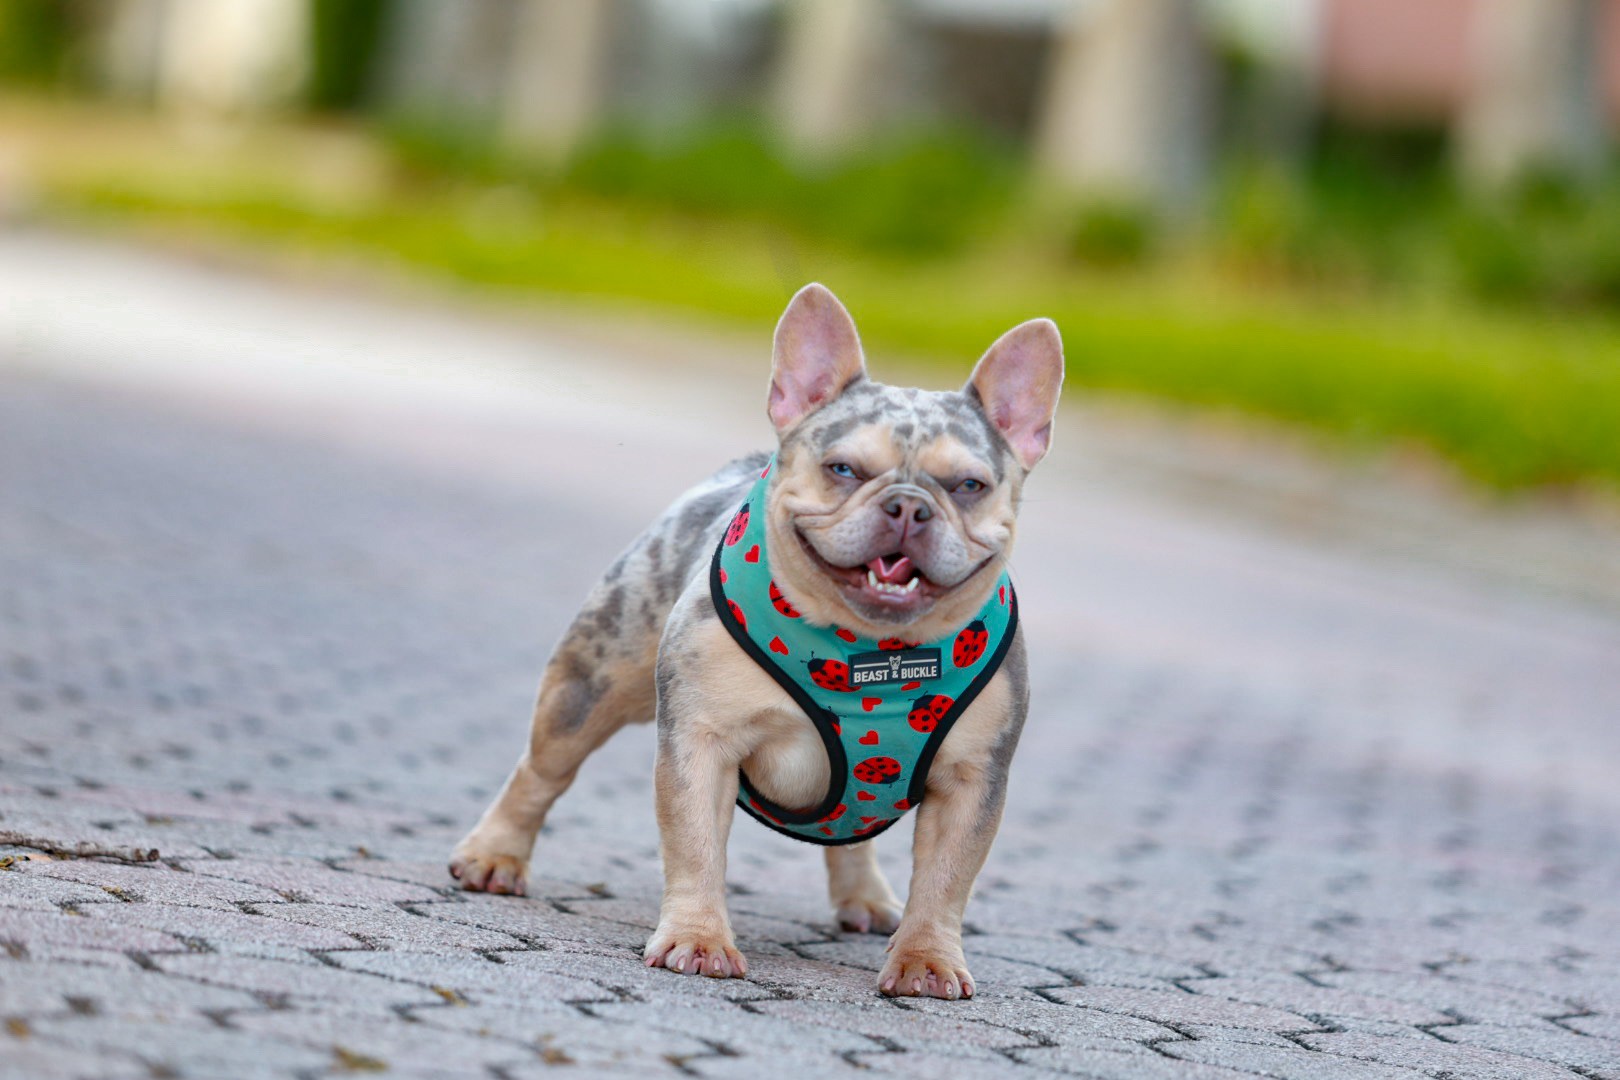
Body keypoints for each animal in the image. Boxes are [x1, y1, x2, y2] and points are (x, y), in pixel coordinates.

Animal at [450, 283, 1063, 999]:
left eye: (969, 486)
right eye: (844, 469)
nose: (909, 506)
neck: (869, 648)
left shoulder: (972, 782)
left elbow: (945, 880)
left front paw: (926, 961)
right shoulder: (701, 743)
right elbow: (694, 846)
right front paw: (698, 939)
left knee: (854, 831)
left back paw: (865, 898)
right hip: (588, 686)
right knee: (541, 771)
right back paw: (494, 856)